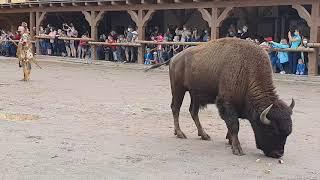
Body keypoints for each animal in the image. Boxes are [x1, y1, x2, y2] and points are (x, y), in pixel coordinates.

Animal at [146, 37, 294, 158]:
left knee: (193, 112)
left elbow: (231, 125)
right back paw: (180, 133)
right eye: (271, 131)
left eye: (287, 133)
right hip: (178, 89)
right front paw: (237, 149)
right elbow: (234, 125)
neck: (247, 69)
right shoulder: (226, 103)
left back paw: (204, 135)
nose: (278, 154)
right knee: (175, 108)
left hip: (195, 94)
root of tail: (174, 58)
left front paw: (229, 141)